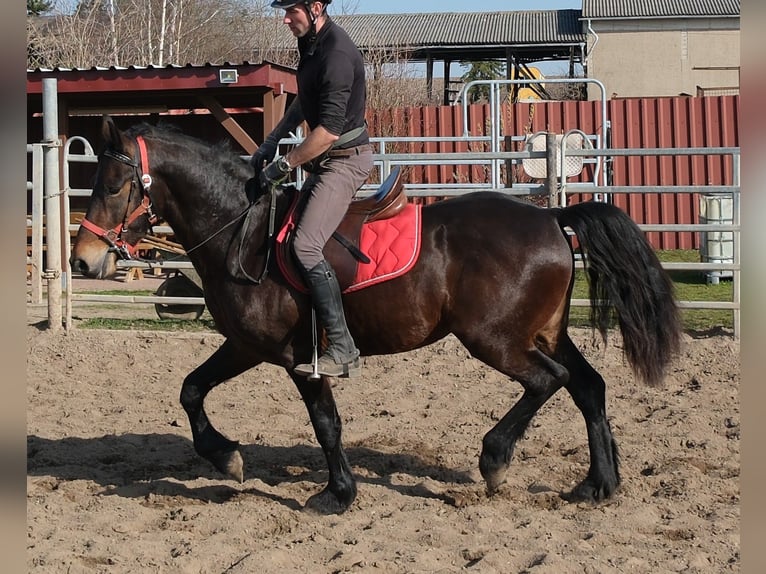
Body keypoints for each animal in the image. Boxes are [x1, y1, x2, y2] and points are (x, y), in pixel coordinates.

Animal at [70, 115, 681, 515]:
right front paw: (227, 459)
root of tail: (551, 217)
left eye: (116, 185)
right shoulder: (246, 346)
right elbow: (191, 389)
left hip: (496, 339)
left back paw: (495, 458)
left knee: (547, 382)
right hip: (542, 332)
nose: (83, 260)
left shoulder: (298, 357)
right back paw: (598, 484)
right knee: (588, 386)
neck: (243, 230)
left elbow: (326, 422)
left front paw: (336, 494)